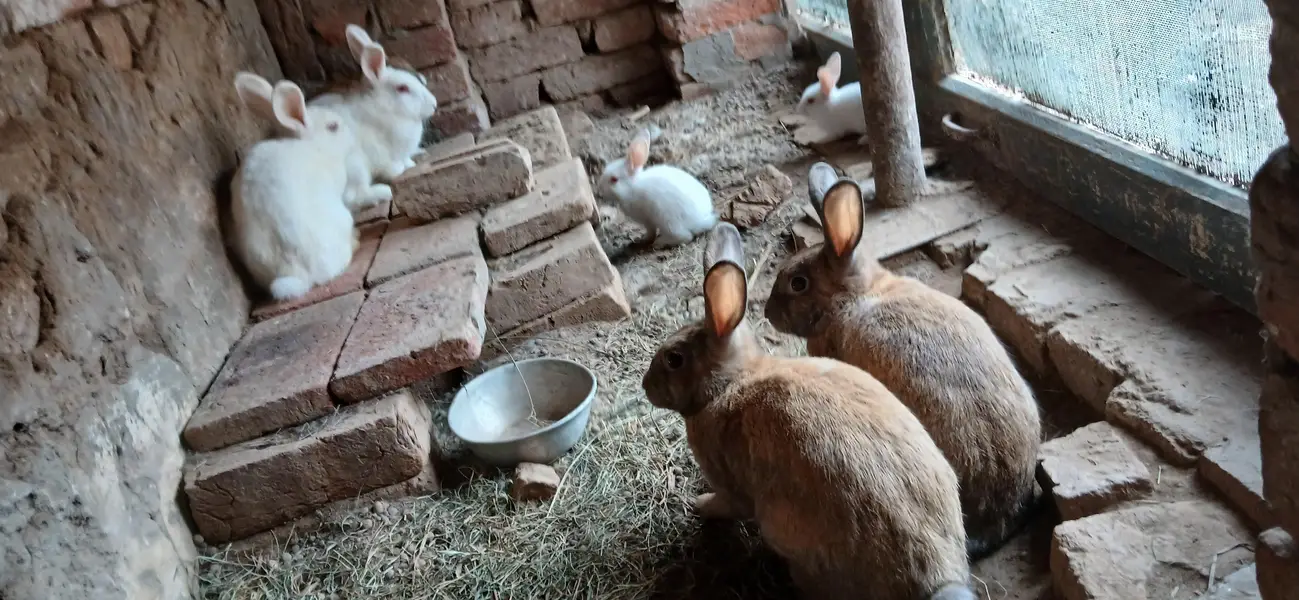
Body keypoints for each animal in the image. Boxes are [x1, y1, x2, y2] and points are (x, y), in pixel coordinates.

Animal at [642, 221, 976, 600]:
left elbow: (728, 503)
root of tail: (934, 581)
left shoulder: (727, 481)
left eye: (674, 359)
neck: (729, 383)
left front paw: (700, 504)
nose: (646, 385)